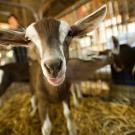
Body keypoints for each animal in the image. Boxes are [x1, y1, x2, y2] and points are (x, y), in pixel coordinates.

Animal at [0, 5, 106, 135]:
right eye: (28, 39)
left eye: (70, 33)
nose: (53, 66)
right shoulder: (42, 100)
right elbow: (46, 127)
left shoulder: (65, 95)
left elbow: (68, 115)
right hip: (32, 87)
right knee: (33, 99)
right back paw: (31, 113)